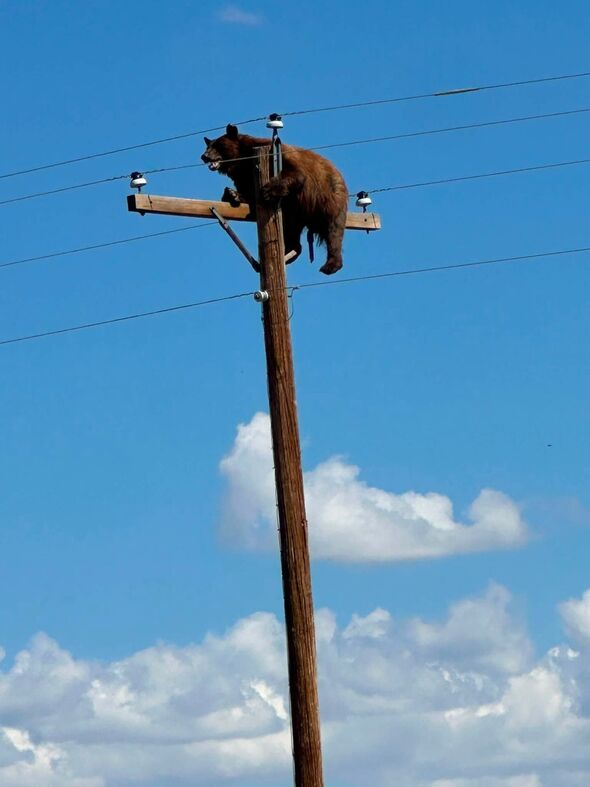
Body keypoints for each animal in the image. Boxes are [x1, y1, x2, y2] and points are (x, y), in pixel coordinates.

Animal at [201, 124, 348, 275]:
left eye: (218, 145)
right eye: (208, 146)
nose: (204, 156)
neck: (242, 159)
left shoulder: (276, 154)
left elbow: (295, 173)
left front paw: (267, 191)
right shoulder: (243, 174)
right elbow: (247, 191)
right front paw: (232, 194)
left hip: (328, 196)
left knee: (333, 229)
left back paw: (330, 265)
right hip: (295, 213)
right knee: (291, 232)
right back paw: (288, 253)